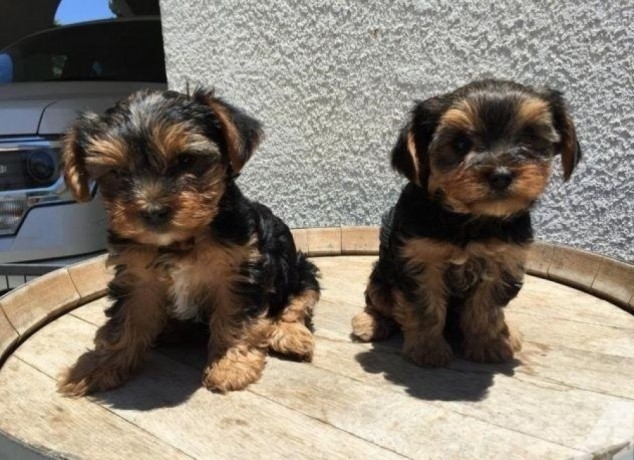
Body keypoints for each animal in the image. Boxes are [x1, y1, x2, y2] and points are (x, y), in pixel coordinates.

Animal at [56, 87, 318, 396]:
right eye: (116, 172)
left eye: (186, 160)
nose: (153, 210)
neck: (180, 240)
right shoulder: (136, 277)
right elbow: (126, 320)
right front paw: (98, 366)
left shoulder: (239, 272)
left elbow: (235, 318)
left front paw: (230, 365)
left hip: (299, 269)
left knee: (297, 301)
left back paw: (291, 336)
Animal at [348, 79, 580, 366]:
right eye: (460, 143)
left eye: (529, 138)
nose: (501, 175)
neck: (468, 218)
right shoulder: (420, 259)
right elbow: (425, 307)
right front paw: (427, 350)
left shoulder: (504, 261)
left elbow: (486, 309)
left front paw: (489, 344)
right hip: (381, 276)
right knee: (379, 301)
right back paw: (370, 322)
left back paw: (507, 333)